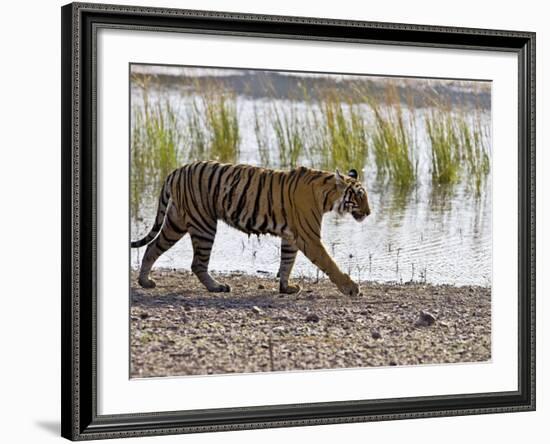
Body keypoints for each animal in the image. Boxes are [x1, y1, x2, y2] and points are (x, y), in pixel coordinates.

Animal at [130, 161, 370, 296]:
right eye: (359, 196)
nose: (368, 213)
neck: (327, 195)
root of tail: (177, 170)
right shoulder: (308, 237)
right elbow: (329, 263)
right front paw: (351, 288)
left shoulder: (291, 236)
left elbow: (287, 262)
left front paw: (286, 288)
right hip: (203, 224)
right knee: (197, 263)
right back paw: (217, 287)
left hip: (177, 221)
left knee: (152, 247)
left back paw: (145, 282)